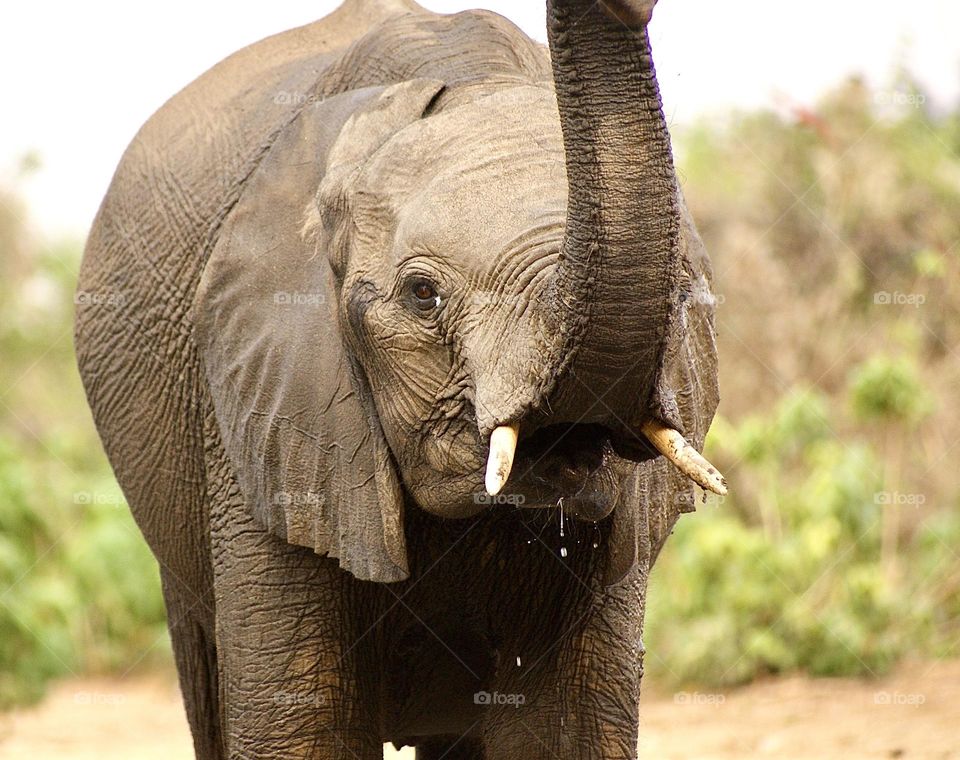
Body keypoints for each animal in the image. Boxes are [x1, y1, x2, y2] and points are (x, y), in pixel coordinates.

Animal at [73, 1, 720, 760]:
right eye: (422, 294)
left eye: (682, 285)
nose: (632, 7)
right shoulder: (256, 412)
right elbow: (303, 729)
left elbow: (565, 729)